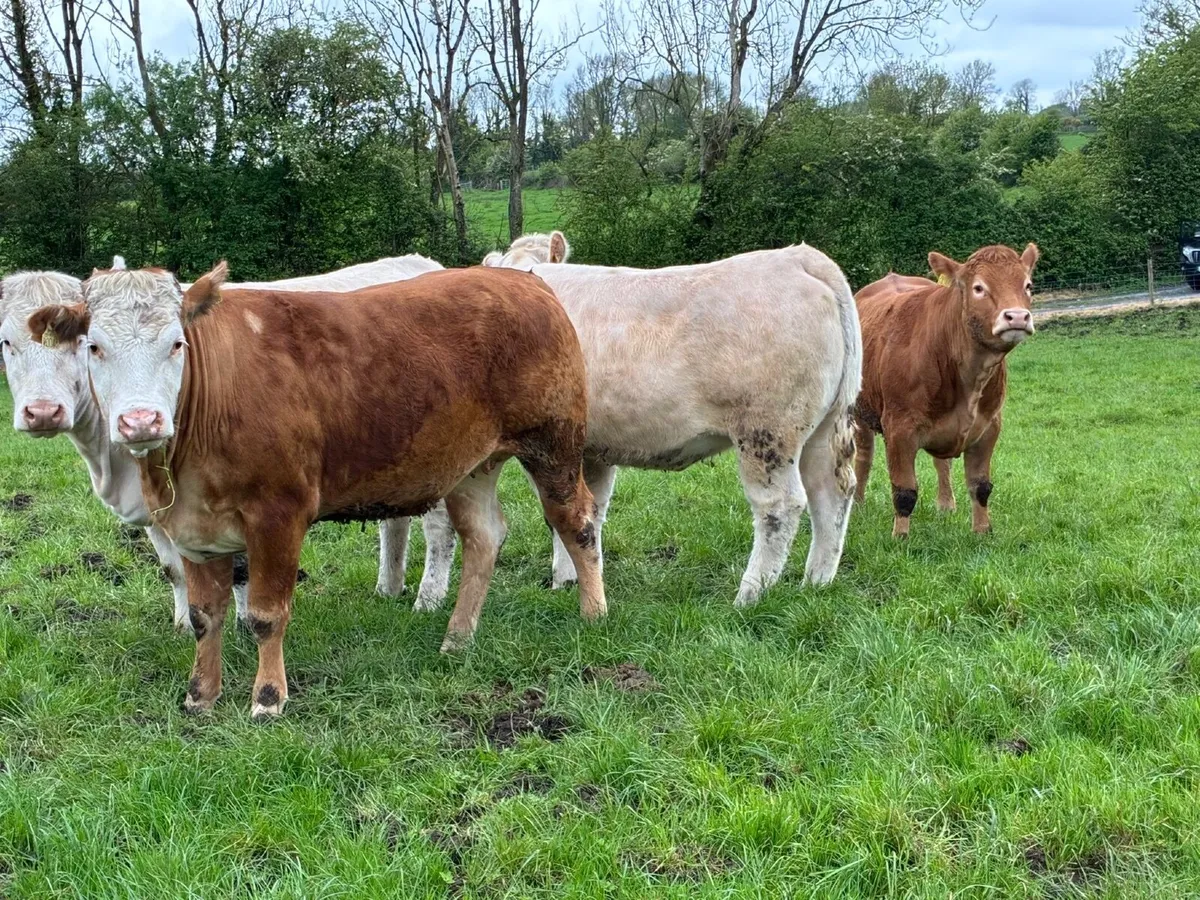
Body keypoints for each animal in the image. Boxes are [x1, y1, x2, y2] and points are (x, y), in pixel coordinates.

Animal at [0, 255, 440, 634]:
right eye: (5, 343)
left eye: (78, 345)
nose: (43, 412)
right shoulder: (156, 509)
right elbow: (174, 569)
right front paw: (185, 623)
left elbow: (244, 571)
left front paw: (244, 623)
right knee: (396, 519)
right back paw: (388, 587)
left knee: (437, 528)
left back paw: (428, 600)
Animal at [397, 234, 862, 608]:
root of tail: (797, 258)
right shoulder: (591, 448)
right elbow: (588, 509)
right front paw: (573, 577)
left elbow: (557, 511)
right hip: (821, 428)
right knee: (831, 493)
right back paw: (816, 581)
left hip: (766, 431)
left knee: (780, 506)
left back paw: (750, 594)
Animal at [852, 244, 1039, 537]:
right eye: (978, 288)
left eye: (1028, 285)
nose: (1017, 316)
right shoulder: (899, 427)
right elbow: (904, 491)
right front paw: (900, 537)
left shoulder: (990, 425)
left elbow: (980, 486)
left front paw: (982, 531)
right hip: (858, 411)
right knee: (863, 456)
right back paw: (858, 503)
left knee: (942, 463)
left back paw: (946, 504)